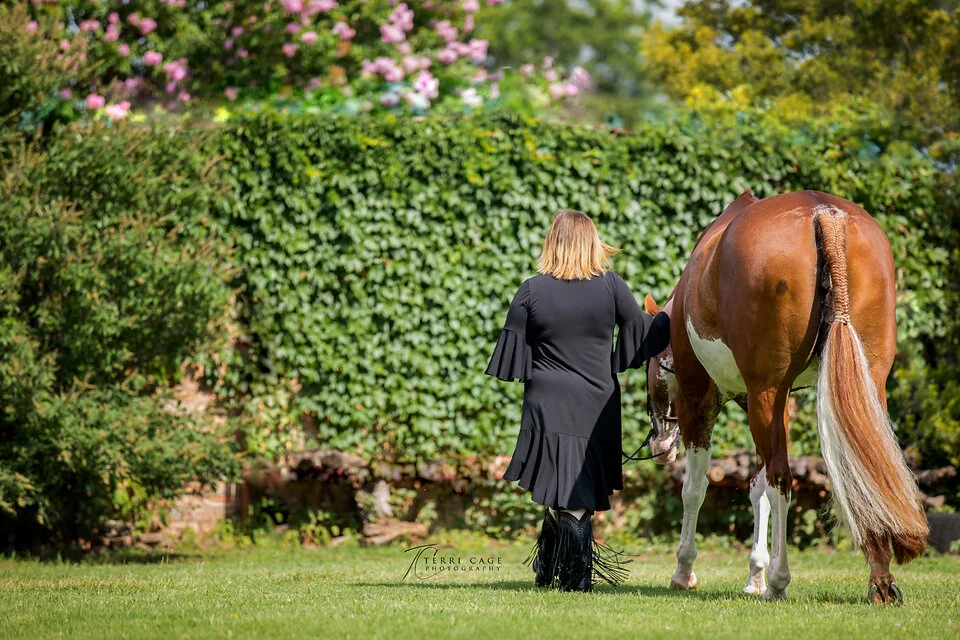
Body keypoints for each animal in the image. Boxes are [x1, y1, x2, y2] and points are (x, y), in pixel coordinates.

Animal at [641, 189, 928, 604]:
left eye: (650, 367)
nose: (660, 446)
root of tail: (825, 213)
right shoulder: (771, 402)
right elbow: (756, 487)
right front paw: (754, 574)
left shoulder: (701, 400)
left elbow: (696, 488)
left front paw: (685, 571)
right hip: (868, 384)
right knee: (872, 473)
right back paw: (880, 580)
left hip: (767, 390)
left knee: (781, 478)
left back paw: (779, 580)